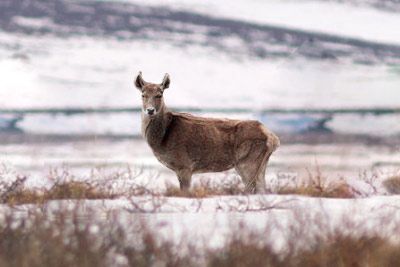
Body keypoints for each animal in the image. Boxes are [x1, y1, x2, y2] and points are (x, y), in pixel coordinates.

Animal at [134, 72, 278, 194]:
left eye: (160, 94)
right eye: (143, 95)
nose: (150, 110)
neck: (163, 139)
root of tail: (273, 138)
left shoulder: (184, 165)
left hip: (248, 162)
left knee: (251, 189)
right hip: (260, 164)